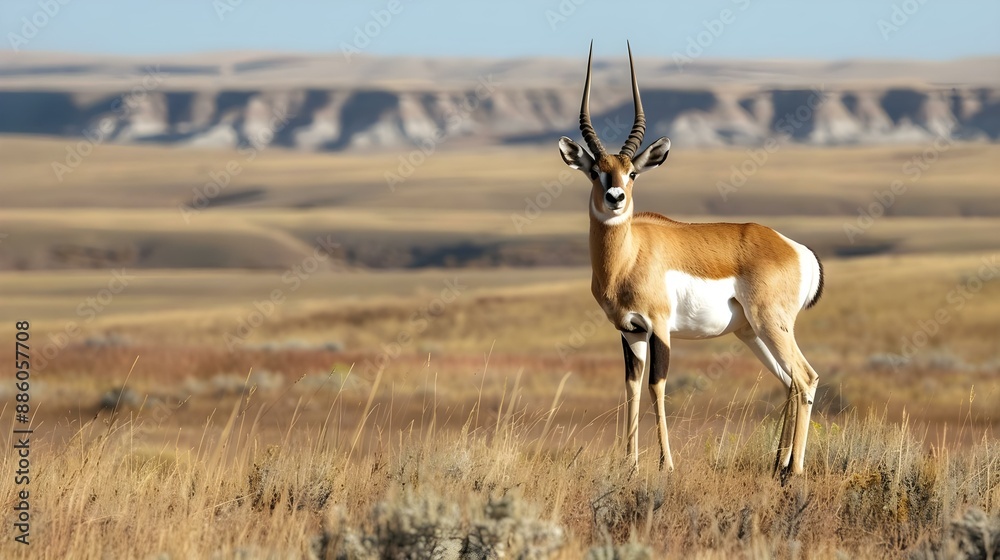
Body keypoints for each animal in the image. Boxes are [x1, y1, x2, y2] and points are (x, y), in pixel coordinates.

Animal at [558, 43, 824, 480]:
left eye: (632, 172)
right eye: (596, 171)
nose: (615, 197)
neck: (629, 255)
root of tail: (794, 248)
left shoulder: (660, 328)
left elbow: (657, 386)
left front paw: (666, 463)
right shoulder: (630, 332)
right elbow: (632, 387)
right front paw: (629, 463)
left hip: (772, 325)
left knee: (806, 377)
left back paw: (794, 471)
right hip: (752, 333)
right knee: (790, 382)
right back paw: (777, 465)